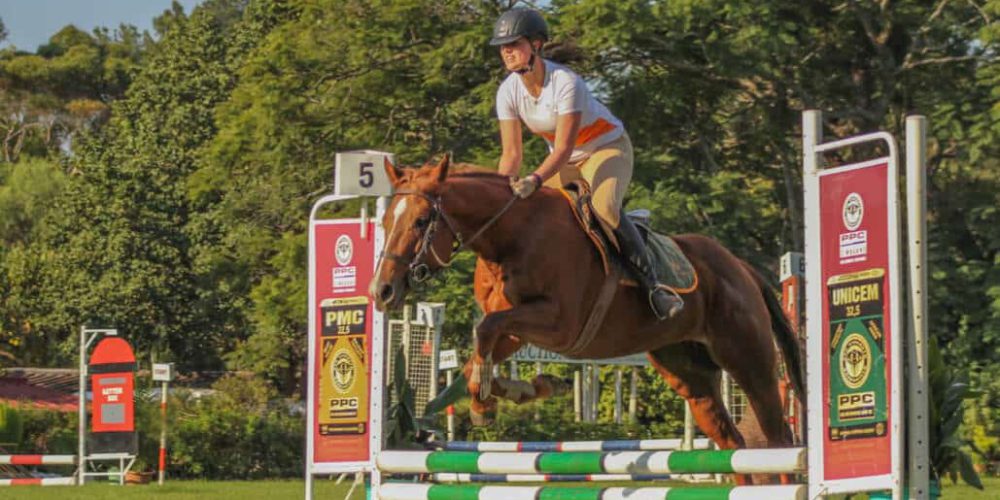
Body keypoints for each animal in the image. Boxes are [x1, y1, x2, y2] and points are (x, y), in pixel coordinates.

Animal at [372, 155, 808, 480]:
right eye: (385, 221)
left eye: (421, 221)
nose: (381, 291)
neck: (511, 236)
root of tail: (741, 267)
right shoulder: (518, 329)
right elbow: (480, 349)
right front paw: (519, 391)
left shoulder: (560, 325)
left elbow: (485, 330)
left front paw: (490, 402)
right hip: (690, 375)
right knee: (734, 446)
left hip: (748, 360)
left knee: (777, 438)